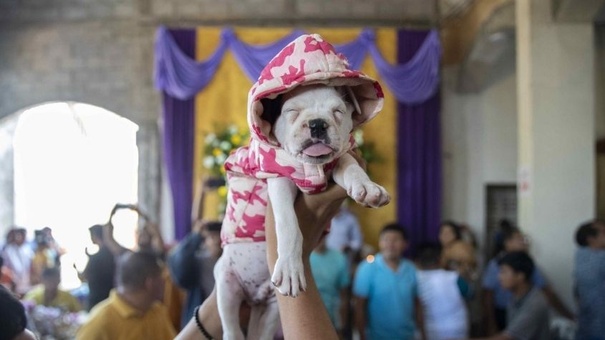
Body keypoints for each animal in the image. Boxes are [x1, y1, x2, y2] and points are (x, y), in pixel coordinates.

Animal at [215, 32, 390, 340]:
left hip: (271, 309)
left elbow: (349, 165)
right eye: (292, 112)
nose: (318, 124)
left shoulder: (336, 160)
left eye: (338, 112)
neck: (313, 166)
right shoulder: (278, 177)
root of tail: (252, 297)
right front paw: (290, 268)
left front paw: (367, 187)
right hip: (225, 283)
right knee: (232, 329)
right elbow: (288, 224)